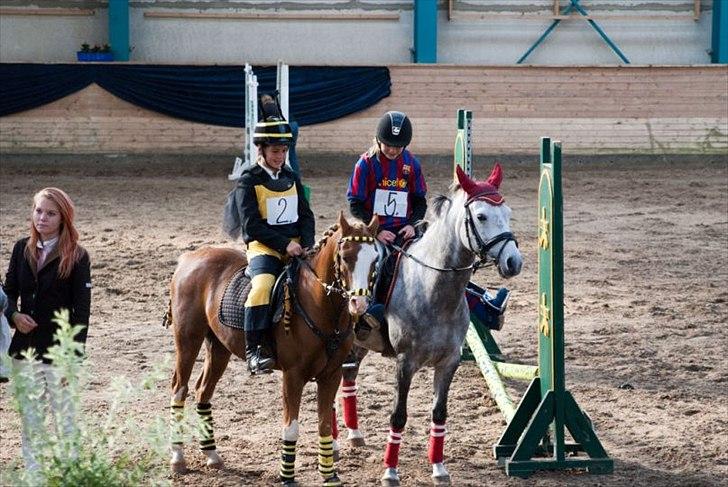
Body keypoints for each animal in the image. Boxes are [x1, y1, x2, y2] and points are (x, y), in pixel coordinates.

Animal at [164, 212, 379, 486]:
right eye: (345, 257)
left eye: (375, 258)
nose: (358, 304)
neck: (321, 306)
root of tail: (189, 258)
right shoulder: (293, 376)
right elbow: (291, 427)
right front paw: (287, 476)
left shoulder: (331, 375)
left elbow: (324, 425)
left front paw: (329, 474)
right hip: (188, 339)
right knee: (179, 389)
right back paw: (177, 458)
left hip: (219, 347)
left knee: (203, 390)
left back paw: (212, 455)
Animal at [335, 164, 523, 486]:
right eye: (482, 216)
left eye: (508, 213)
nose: (513, 261)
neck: (432, 289)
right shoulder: (405, 362)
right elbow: (398, 415)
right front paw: (390, 471)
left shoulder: (449, 362)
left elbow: (439, 413)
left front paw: (438, 467)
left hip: (360, 343)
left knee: (349, 376)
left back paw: (355, 434)